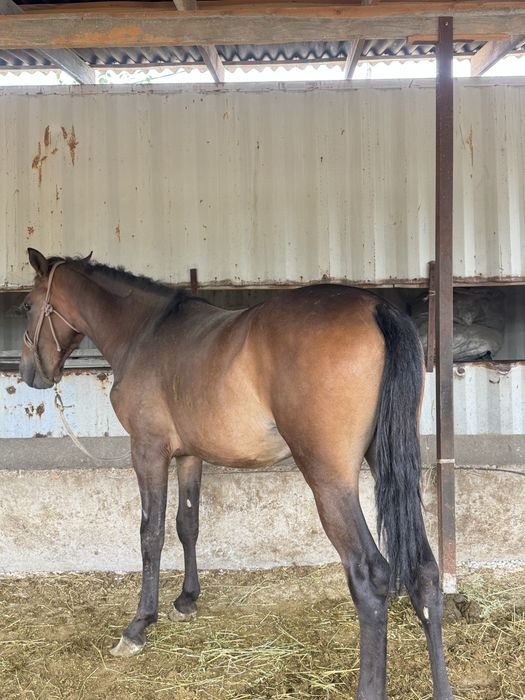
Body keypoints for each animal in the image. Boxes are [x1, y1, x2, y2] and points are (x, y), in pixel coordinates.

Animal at [19, 248, 453, 700]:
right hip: (387, 464)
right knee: (424, 572)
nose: (31, 374)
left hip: (330, 480)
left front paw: (139, 625)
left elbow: (151, 533)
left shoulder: (148, 450)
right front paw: (187, 600)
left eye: (26, 306)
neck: (145, 333)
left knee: (369, 576)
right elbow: (187, 524)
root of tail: (375, 308)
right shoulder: (189, 456)